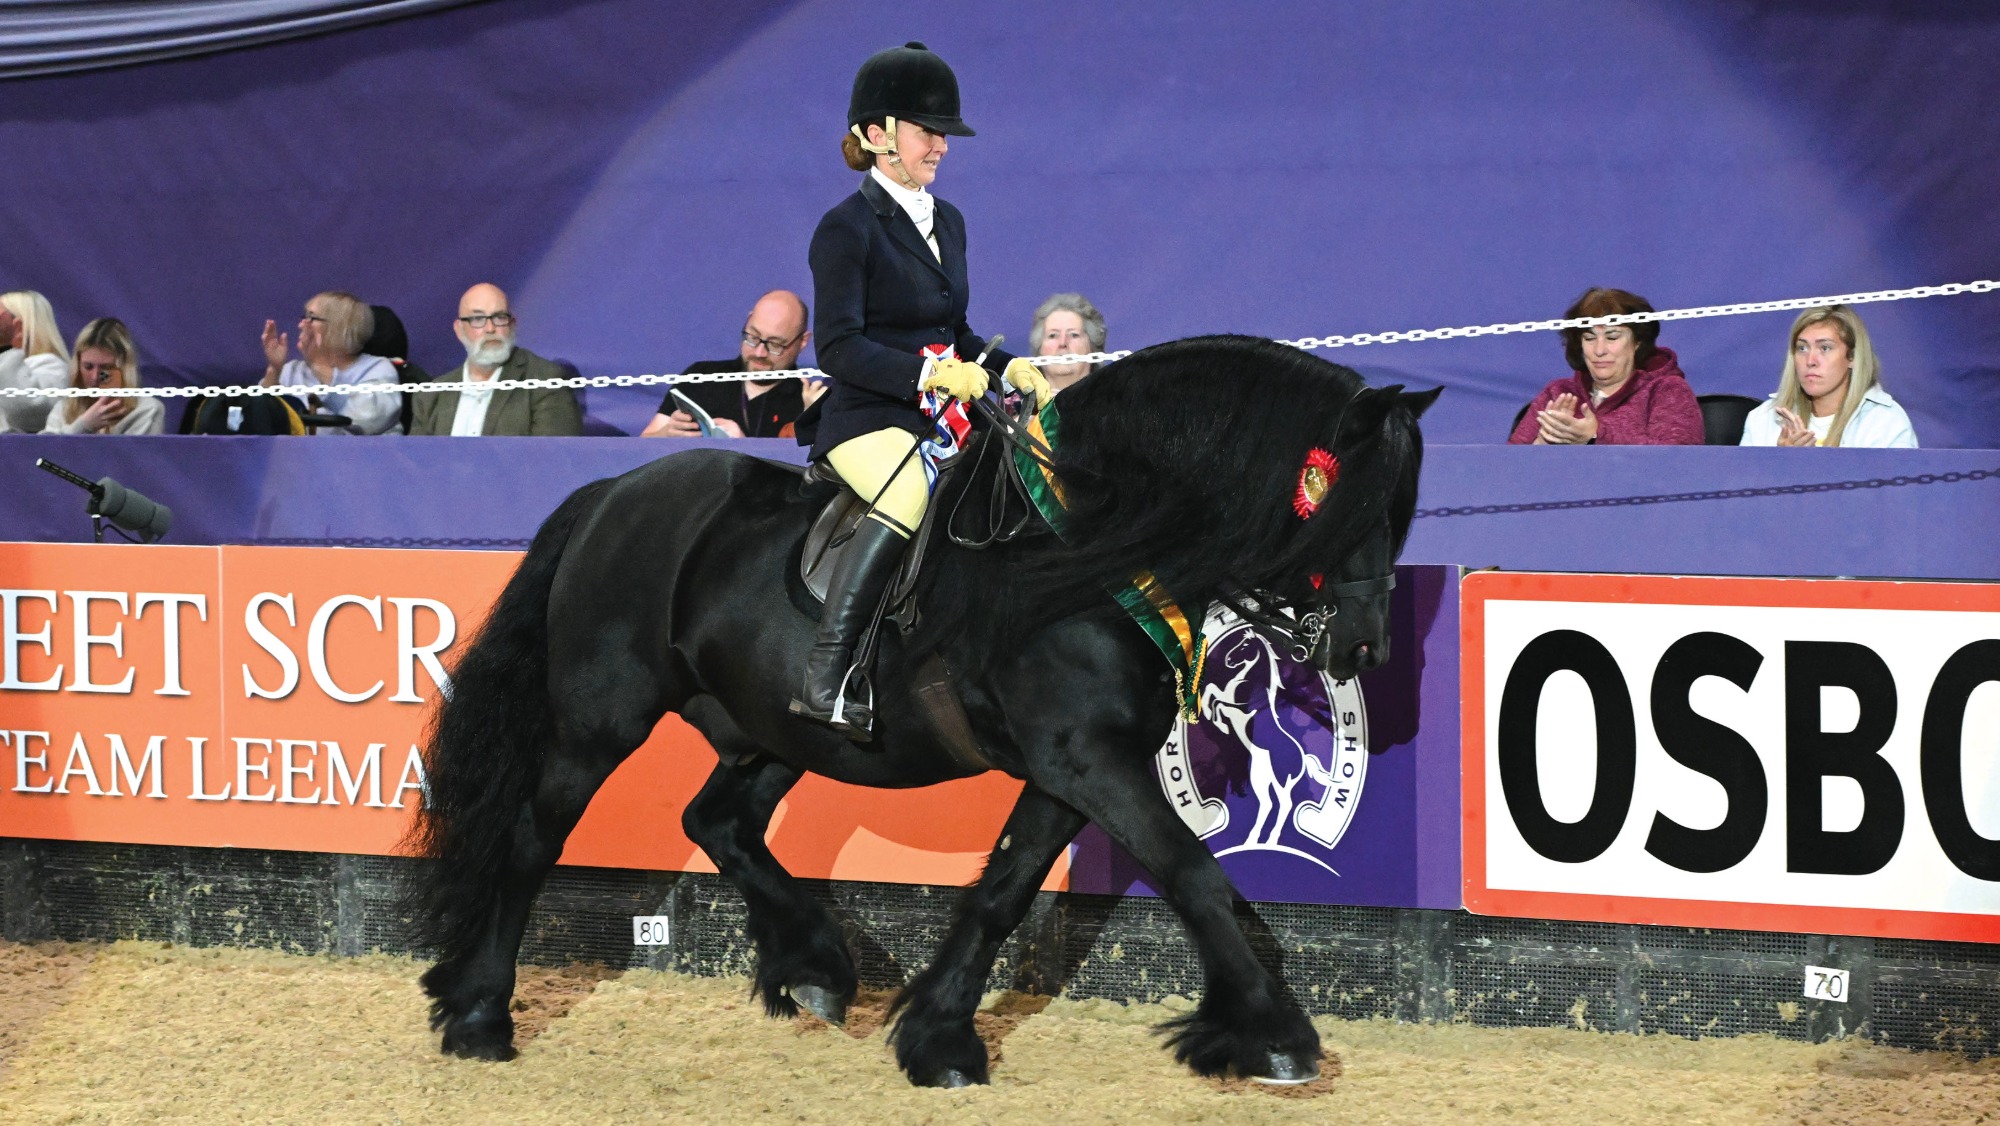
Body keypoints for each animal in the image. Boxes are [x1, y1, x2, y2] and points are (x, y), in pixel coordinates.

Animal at [406, 333, 1438, 1088]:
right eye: (1349, 506)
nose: (1362, 653)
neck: (1090, 550)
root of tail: (612, 490)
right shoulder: (1088, 759)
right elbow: (1194, 875)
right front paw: (1273, 1036)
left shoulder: (1070, 770)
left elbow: (1002, 893)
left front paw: (938, 1037)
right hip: (600, 721)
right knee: (534, 838)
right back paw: (481, 1017)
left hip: (774, 729)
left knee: (719, 820)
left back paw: (816, 969)